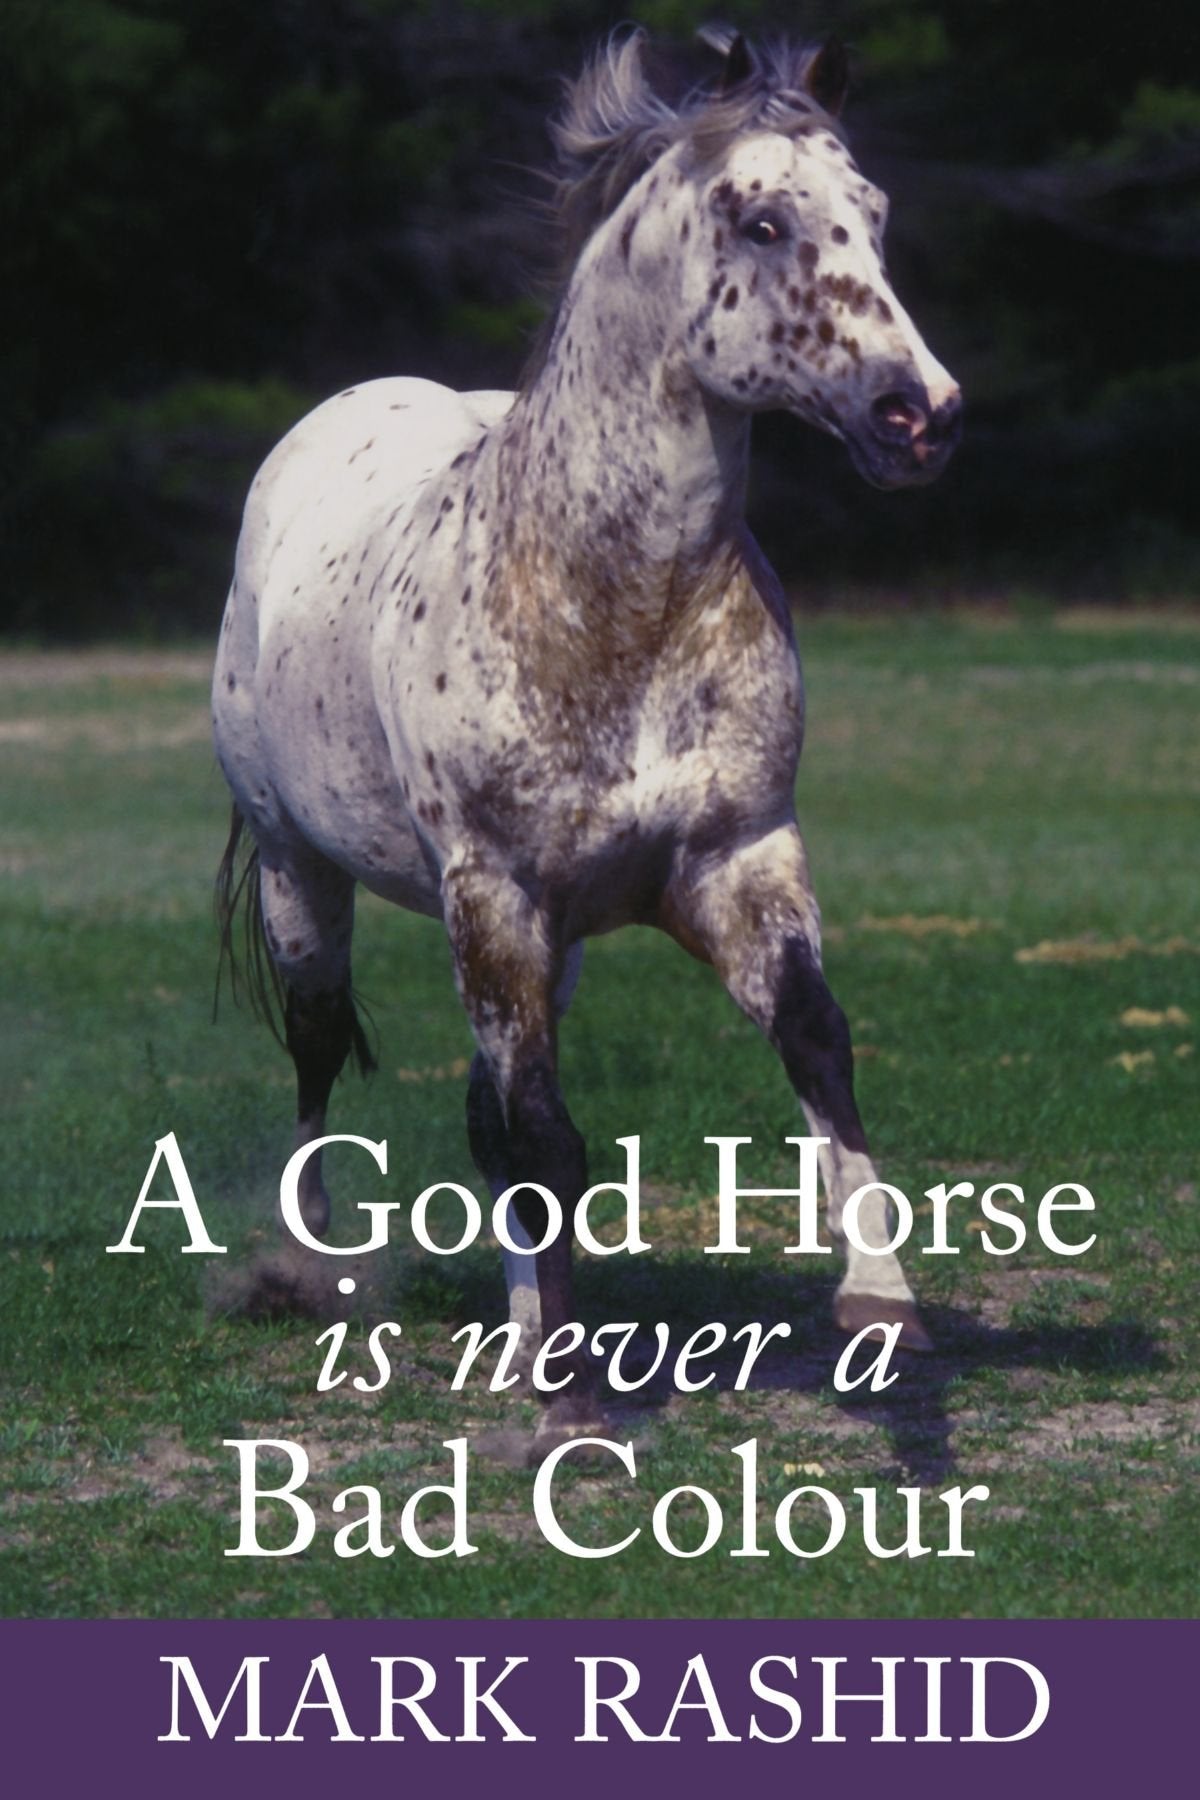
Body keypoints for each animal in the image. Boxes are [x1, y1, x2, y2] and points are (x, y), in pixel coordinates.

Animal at [213, 28, 961, 1451]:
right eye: (766, 221)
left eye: (878, 214)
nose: (921, 414)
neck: (613, 604)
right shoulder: (494, 894)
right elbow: (546, 1140)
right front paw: (569, 1397)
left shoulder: (736, 857)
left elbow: (814, 1043)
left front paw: (880, 1303)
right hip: (303, 872)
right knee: (322, 1045)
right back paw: (315, 1270)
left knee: (488, 1113)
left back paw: (520, 1328)